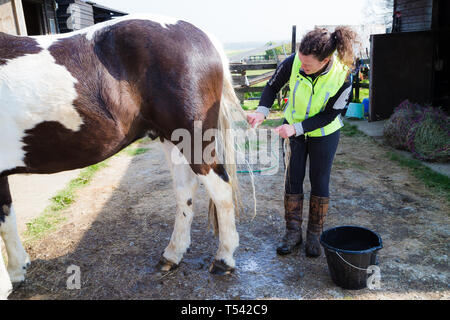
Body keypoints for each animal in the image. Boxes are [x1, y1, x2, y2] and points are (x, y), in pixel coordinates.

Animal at [0, 13, 248, 298]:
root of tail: (200, 34)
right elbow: (7, 218)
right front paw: (17, 270)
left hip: (193, 139)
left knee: (221, 190)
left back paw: (224, 259)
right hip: (170, 137)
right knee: (185, 190)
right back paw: (172, 255)